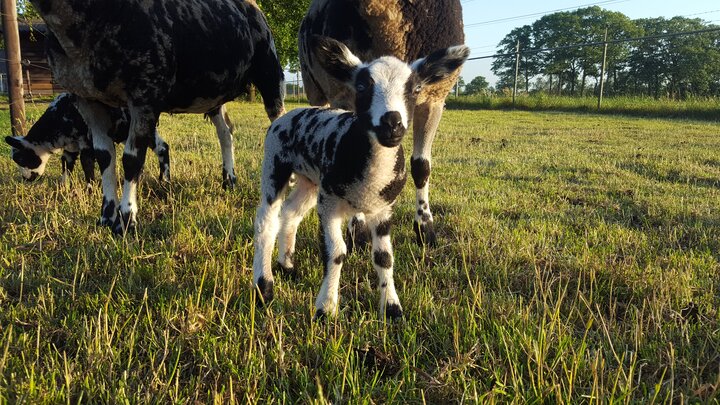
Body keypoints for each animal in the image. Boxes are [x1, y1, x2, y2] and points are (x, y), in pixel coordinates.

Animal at [31, 0, 286, 234]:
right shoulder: (87, 99)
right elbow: (104, 157)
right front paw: (106, 217)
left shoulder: (145, 93)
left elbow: (132, 160)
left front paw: (127, 220)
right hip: (214, 93)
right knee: (226, 132)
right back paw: (228, 180)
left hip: (270, 70)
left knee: (278, 121)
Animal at [255, 35, 472, 318]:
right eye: (361, 86)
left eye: (415, 89)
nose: (392, 123)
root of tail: (288, 115)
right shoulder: (329, 205)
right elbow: (336, 253)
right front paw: (326, 308)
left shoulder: (383, 209)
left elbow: (384, 258)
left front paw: (392, 308)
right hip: (274, 163)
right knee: (266, 221)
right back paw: (264, 287)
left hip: (310, 181)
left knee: (291, 212)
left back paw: (287, 265)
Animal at [300, 0, 464, 246]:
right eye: (361, 87)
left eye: (416, 88)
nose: (391, 124)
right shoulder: (344, 94)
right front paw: (357, 233)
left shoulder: (434, 98)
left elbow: (421, 167)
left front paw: (425, 228)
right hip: (316, 89)